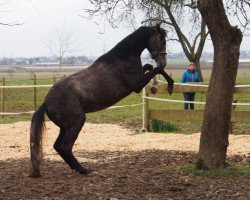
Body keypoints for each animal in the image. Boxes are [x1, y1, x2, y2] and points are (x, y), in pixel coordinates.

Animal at [29, 24, 174, 177]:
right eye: (162, 40)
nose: (164, 62)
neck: (122, 59)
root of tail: (46, 102)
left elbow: (150, 67)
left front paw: (155, 86)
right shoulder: (137, 85)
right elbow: (156, 69)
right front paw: (167, 86)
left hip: (65, 127)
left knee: (58, 146)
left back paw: (76, 168)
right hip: (76, 122)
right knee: (65, 147)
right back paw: (83, 169)